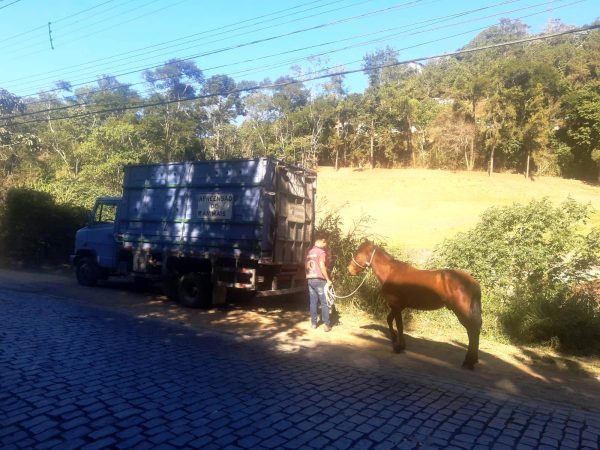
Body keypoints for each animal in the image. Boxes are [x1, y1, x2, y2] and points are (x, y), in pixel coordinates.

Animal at [346, 239, 482, 370]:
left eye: (358, 253)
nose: (349, 270)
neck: (391, 272)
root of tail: (473, 283)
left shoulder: (396, 306)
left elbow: (399, 325)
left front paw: (399, 347)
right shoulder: (397, 307)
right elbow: (389, 320)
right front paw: (395, 341)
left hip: (462, 311)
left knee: (472, 331)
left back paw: (468, 362)